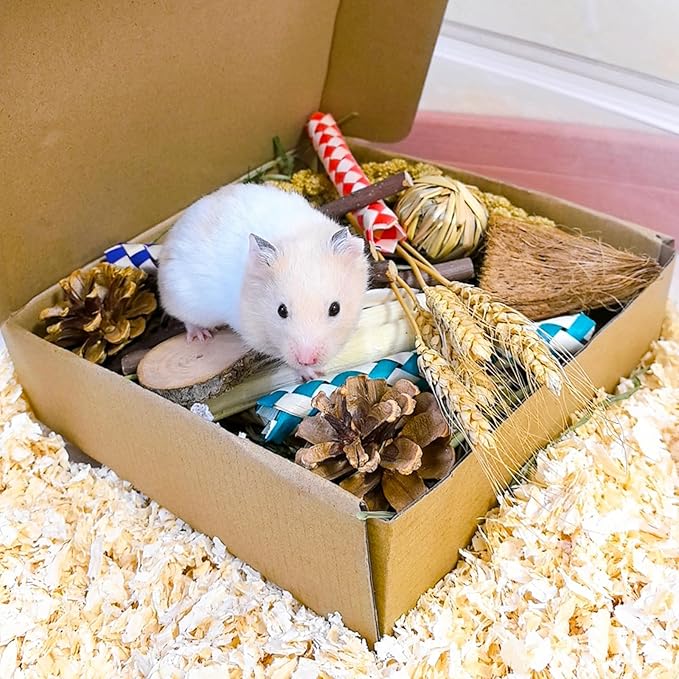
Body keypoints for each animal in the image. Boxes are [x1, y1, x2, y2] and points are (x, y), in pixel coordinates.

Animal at [157, 182, 370, 381]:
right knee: (186, 320)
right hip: (183, 300)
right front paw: (312, 374)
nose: (306, 359)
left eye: (335, 308)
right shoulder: (255, 335)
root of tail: (166, 244)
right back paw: (201, 335)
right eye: (281, 310)